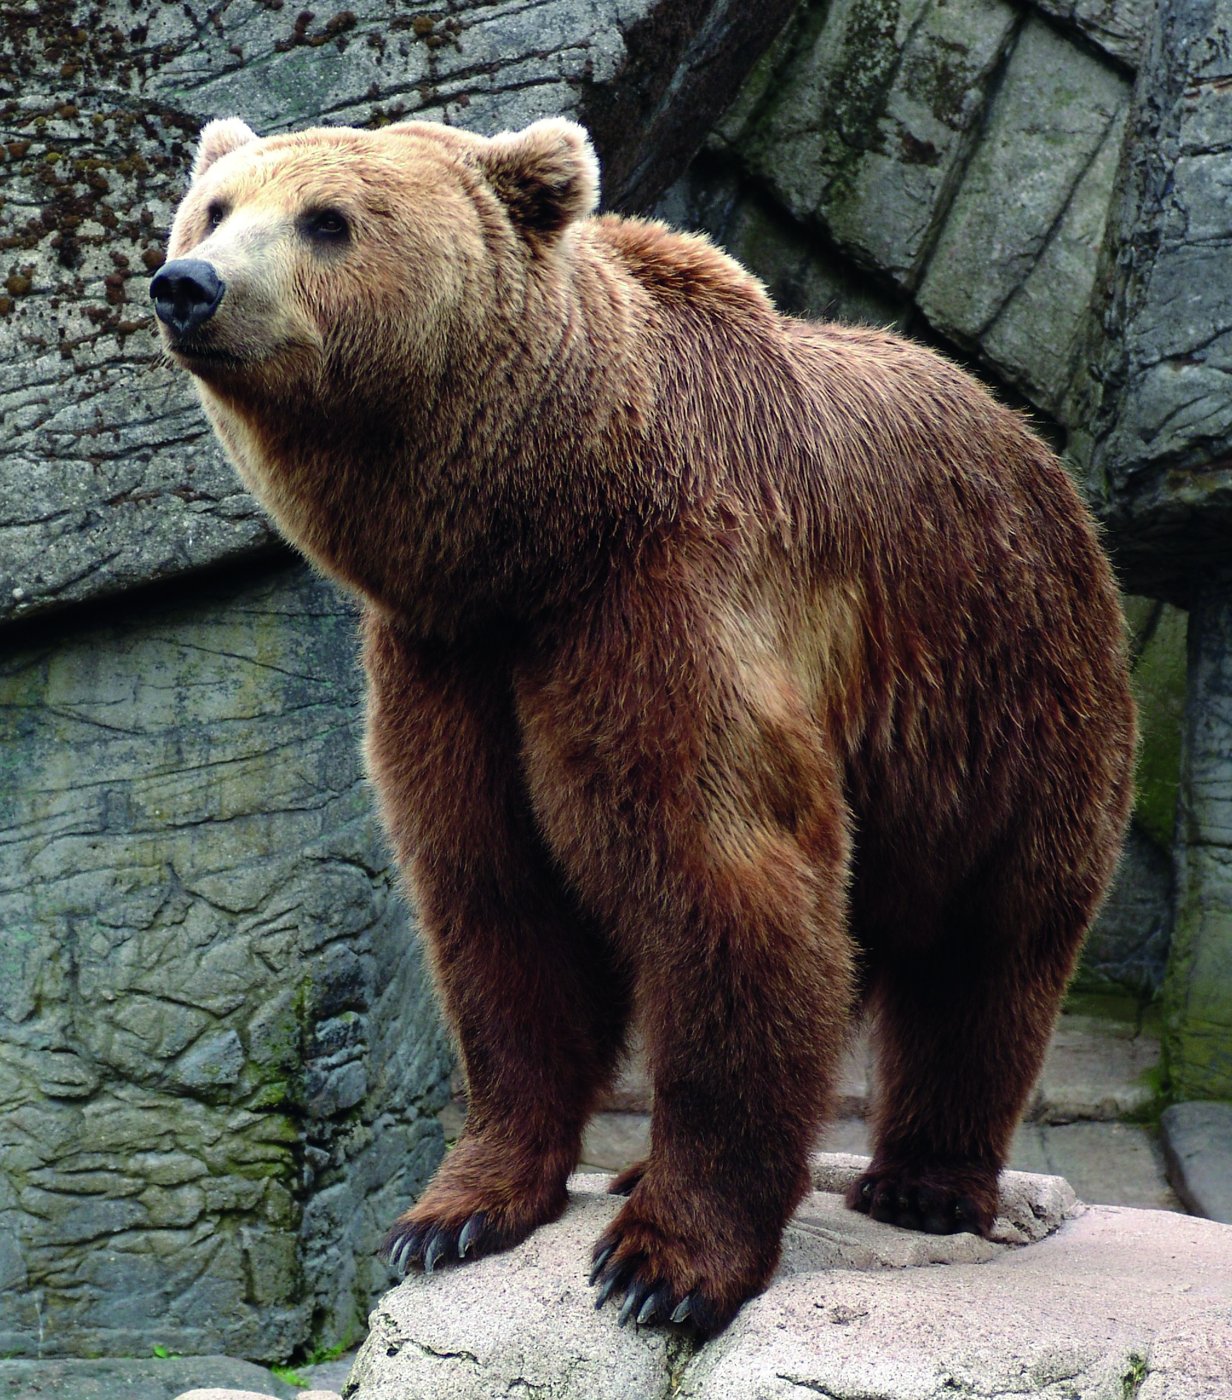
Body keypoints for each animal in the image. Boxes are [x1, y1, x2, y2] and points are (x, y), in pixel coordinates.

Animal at [151, 115, 1136, 1336]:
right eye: (215, 208)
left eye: (327, 220)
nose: (188, 286)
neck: (542, 526)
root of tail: (1039, 451)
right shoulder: (451, 663)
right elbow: (495, 905)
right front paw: (453, 1215)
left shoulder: (670, 601)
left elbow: (726, 880)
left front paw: (661, 1265)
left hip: (1007, 699)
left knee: (987, 951)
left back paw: (921, 1181)